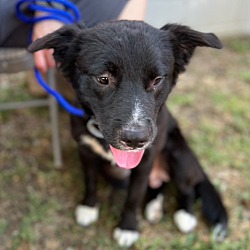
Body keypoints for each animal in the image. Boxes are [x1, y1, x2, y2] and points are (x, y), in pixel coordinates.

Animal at [27, 20, 229, 247]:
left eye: (157, 80)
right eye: (103, 79)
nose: (135, 139)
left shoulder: (144, 162)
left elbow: (133, 197)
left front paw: (127, 228)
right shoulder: (86, 150)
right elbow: (90, 182)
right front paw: (88, 207)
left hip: (180, 156)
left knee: (187, 189)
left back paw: (185, 215)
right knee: (159, 185)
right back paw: (154, 207)